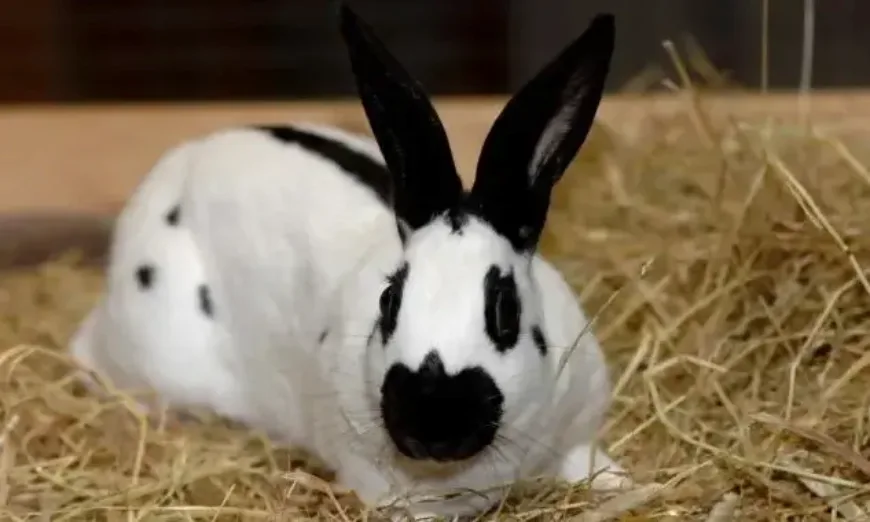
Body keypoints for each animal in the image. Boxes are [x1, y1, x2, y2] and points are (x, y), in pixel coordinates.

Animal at [68, 3, 630, 520]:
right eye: (389, 302)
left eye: (505, 312)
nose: (432, 426)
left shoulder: (577, 431)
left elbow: (590, 464)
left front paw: (621, 487)